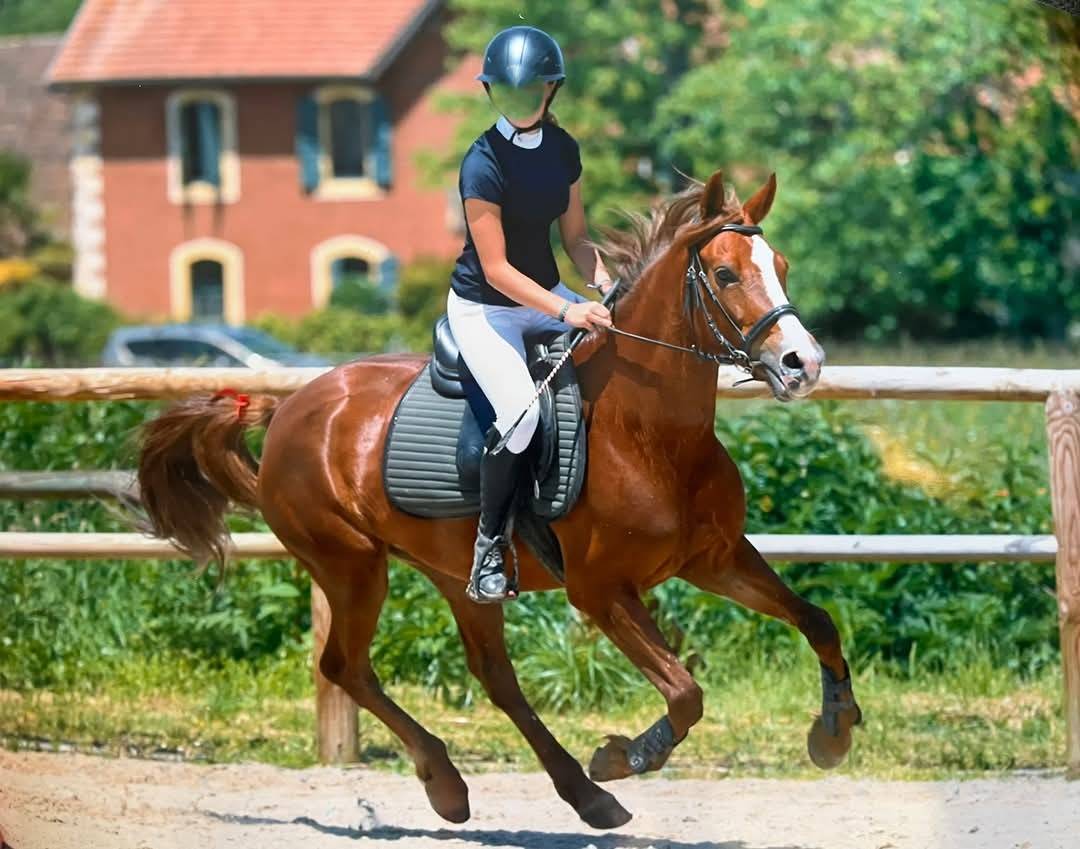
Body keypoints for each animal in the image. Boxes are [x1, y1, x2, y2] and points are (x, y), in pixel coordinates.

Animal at [136, 170, 862, 830]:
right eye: (726, 273)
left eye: (781, 266)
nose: (803, 364)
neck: (649, 432)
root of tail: (288, 407)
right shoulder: (600, 589)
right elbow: (684, 692)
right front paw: (623, 755)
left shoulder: (714, 558)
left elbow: (818, 620)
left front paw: (834, 730)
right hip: (350, 566)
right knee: (347, 665)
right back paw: (453, 782)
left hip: (451, 575)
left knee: (491, 675)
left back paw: (576, 797)